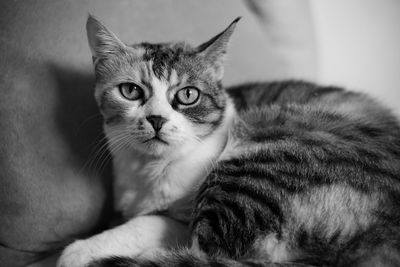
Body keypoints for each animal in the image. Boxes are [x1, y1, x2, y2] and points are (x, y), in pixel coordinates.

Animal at [56, 15, 400, 266]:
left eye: (188, 95)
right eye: (130, 91)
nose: (156, 119)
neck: (151, 172)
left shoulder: (180, 219)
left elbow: (148, 224)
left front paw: (79, 252)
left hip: (253, 167)